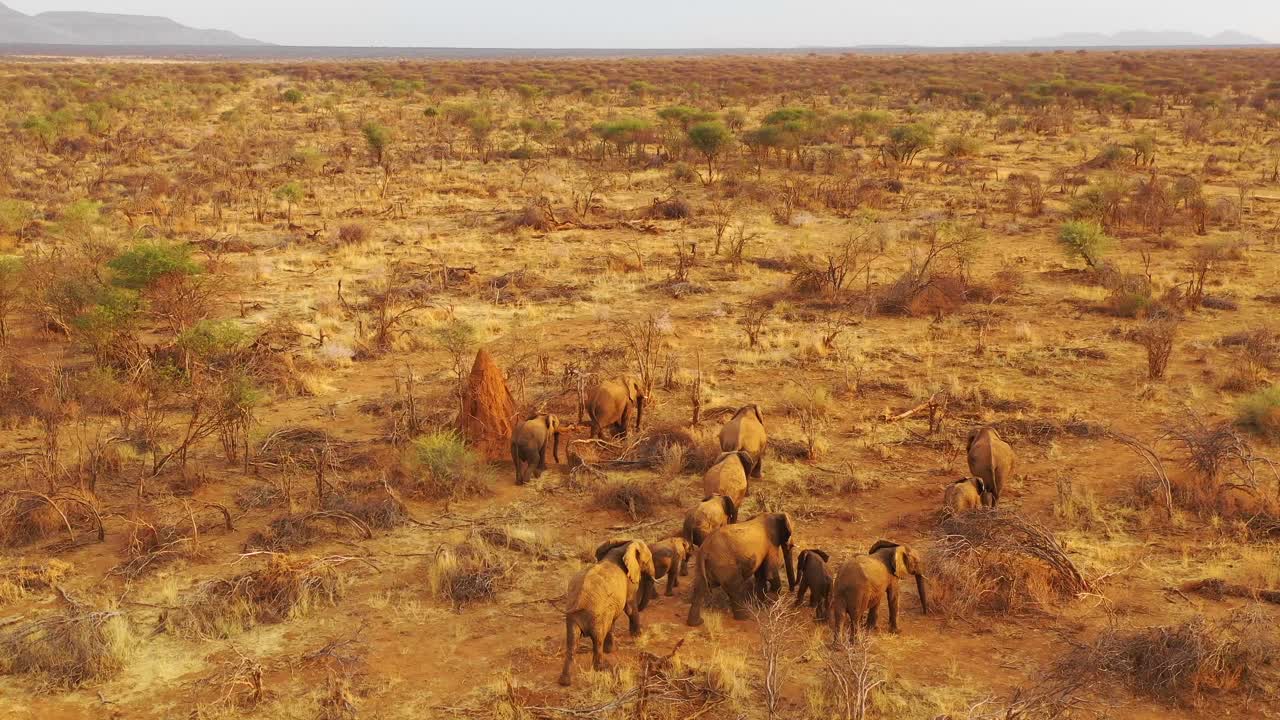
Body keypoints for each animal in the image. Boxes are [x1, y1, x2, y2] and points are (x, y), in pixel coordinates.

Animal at [559, 539, 657, 686]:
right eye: (648, 559)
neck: (624, 546)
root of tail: (579, 600)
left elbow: (614, 620)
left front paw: (612, 649)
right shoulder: (628, 583)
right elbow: (629, 608)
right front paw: (639, 637)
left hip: (573, 617)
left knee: (572, 642)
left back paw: (565, 681)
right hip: (596, 615)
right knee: (597, 639)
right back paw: (602, 668)